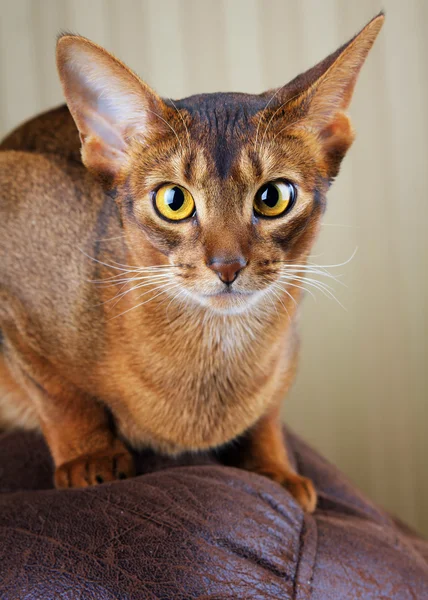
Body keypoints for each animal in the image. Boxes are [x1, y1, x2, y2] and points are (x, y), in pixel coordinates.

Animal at [0, 12, 384, 510]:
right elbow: (60, 395)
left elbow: (268, 412)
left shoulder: (288, 346)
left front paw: (275, 468)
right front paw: (90, 458)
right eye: (174, 200)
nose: (227, 266)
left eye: (274, 197)